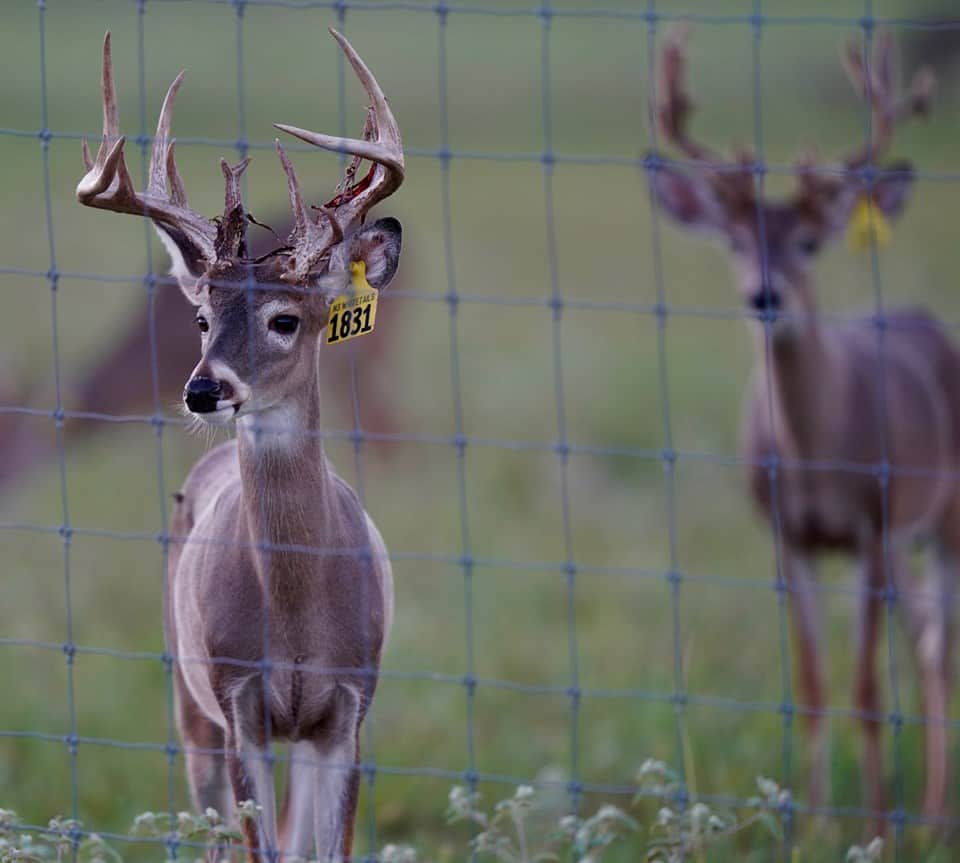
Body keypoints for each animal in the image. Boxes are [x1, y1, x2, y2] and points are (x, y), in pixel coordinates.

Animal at [76, 29, 403, 863]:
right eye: (201, 318)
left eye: (286, 318)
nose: (202, 390)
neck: (294, 618)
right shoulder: (238, 702)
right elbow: (256, 846)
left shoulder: (348, 707)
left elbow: (326, 848)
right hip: (188, 698)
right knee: (215, 831)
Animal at [647, 28, 957, 828]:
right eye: (732, 239)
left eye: (813, 242)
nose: (765, 296)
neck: (819, 462)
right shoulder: (790, 536)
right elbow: (814, 687)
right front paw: (813, 823)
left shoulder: (872, 527)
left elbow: (868, 693)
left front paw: (877, 829)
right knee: (927, 636)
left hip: (944, 518)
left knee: (938, 646)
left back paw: (931, 815)